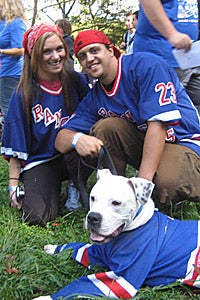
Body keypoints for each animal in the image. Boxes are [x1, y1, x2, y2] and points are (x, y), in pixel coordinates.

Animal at [33, 170, 200, 298]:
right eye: (93, 198)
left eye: (116, 203)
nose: (92, 217)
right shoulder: (93, 253)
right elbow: (74, 247)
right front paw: (52, 248)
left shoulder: (121, 279)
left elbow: (80, 284)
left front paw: (45, 298)